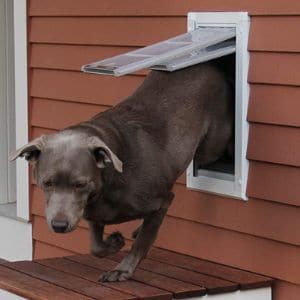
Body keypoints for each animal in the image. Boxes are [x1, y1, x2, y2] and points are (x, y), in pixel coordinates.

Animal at [9, 59, 234, 282]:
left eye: (80, 184)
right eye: (47, 183)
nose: (59, 226)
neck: (108, 185)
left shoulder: (161, 201)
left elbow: (143, 241)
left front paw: (122, 270)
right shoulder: (94, 211)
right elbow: (96, 246)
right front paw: (114, 241)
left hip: (210, 146)